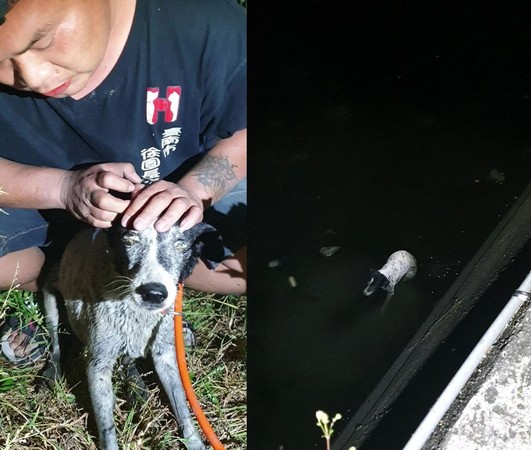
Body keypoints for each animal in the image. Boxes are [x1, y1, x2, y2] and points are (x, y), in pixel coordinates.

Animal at [41, 221, 222, 450]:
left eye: (181, 244)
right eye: (129, 240)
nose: (154, 293)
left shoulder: (165, 356)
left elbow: (181, 404)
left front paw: (194, 442)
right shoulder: (98, 366)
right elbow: (107, 429)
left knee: (128, 359)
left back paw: (137, 388)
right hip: (50, 301)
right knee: (55, 344)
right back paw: (52, 373)